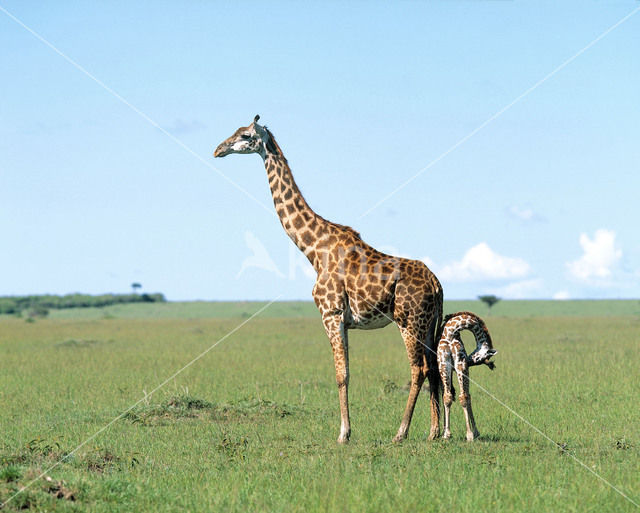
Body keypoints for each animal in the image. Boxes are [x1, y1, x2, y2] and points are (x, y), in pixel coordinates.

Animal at [212, 115, 442, 440]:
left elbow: (341, 374)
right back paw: (437, 432)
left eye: (244, 135)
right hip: (428, 322)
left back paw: (401, 432)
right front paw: (347, 430)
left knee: (418, 369)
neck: (314, 249)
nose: (218, 149)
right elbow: (346, 372)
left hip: (409, 319)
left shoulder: (330, 314)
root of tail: (436, 283)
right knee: (433, 366)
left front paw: (343, 433)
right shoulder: (343, 320)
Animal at [438, 312, 498, 440]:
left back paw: (450, 434)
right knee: (462, 396)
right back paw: (468, 434)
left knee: (451, 396)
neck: (451, 331)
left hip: (449, 366)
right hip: (460, 366)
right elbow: (466, 396)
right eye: (483, 358)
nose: (469, 361)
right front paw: (475, 432)